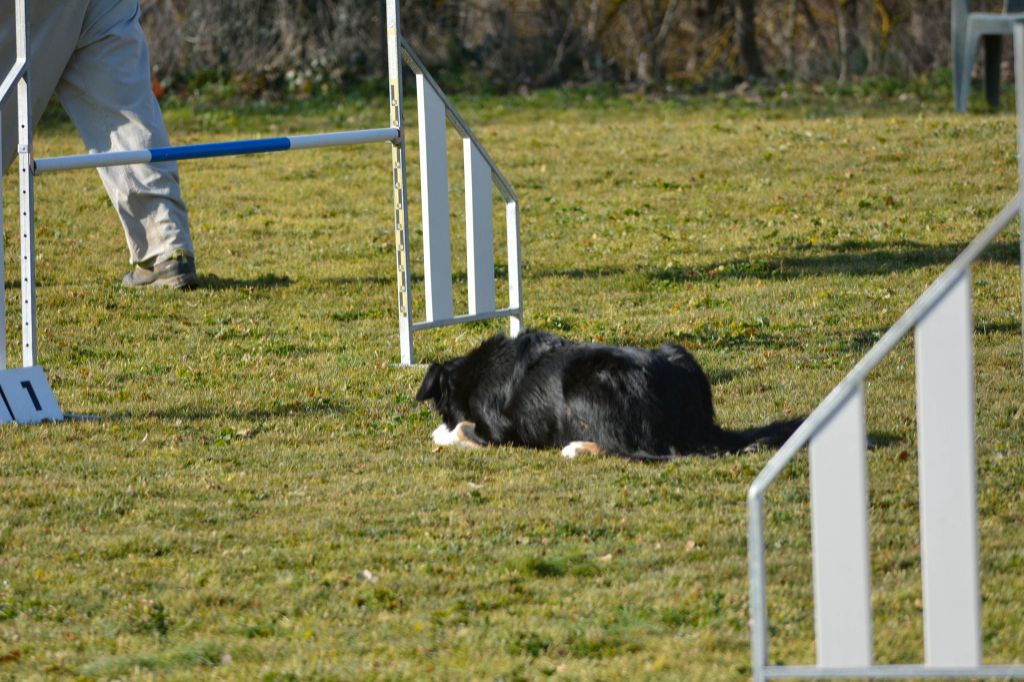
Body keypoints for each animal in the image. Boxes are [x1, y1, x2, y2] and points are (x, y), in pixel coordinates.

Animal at [413, 327, 798, 458]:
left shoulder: (496, 431)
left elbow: (460, 431)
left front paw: (444, 432)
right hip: (676, 351)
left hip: (586, 383)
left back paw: (577, 447)